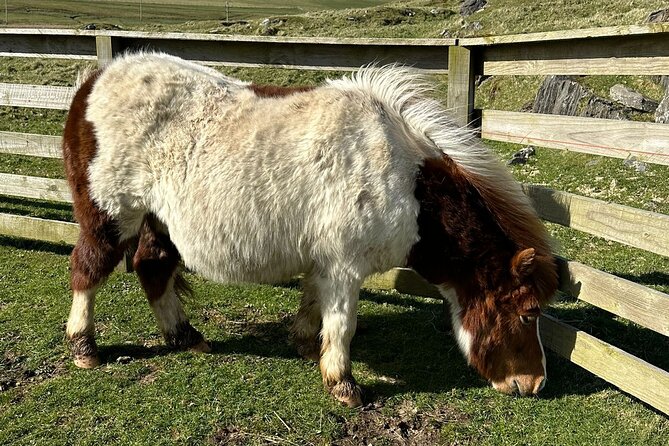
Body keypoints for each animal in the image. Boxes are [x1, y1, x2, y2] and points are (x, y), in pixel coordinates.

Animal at [62, 52, 558, 407]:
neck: (405, 181)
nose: (534, 383)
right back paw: (84, 348)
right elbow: (342, 324)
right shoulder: (344, 268)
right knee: (88, 270)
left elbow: (313, 304)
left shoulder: (324, 262)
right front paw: (344, 386)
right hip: (112, 216)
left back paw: (185, 337)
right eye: (528, 313)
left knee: (153, 268)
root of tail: (93, 81)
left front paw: (304, 345)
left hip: (157, 222)